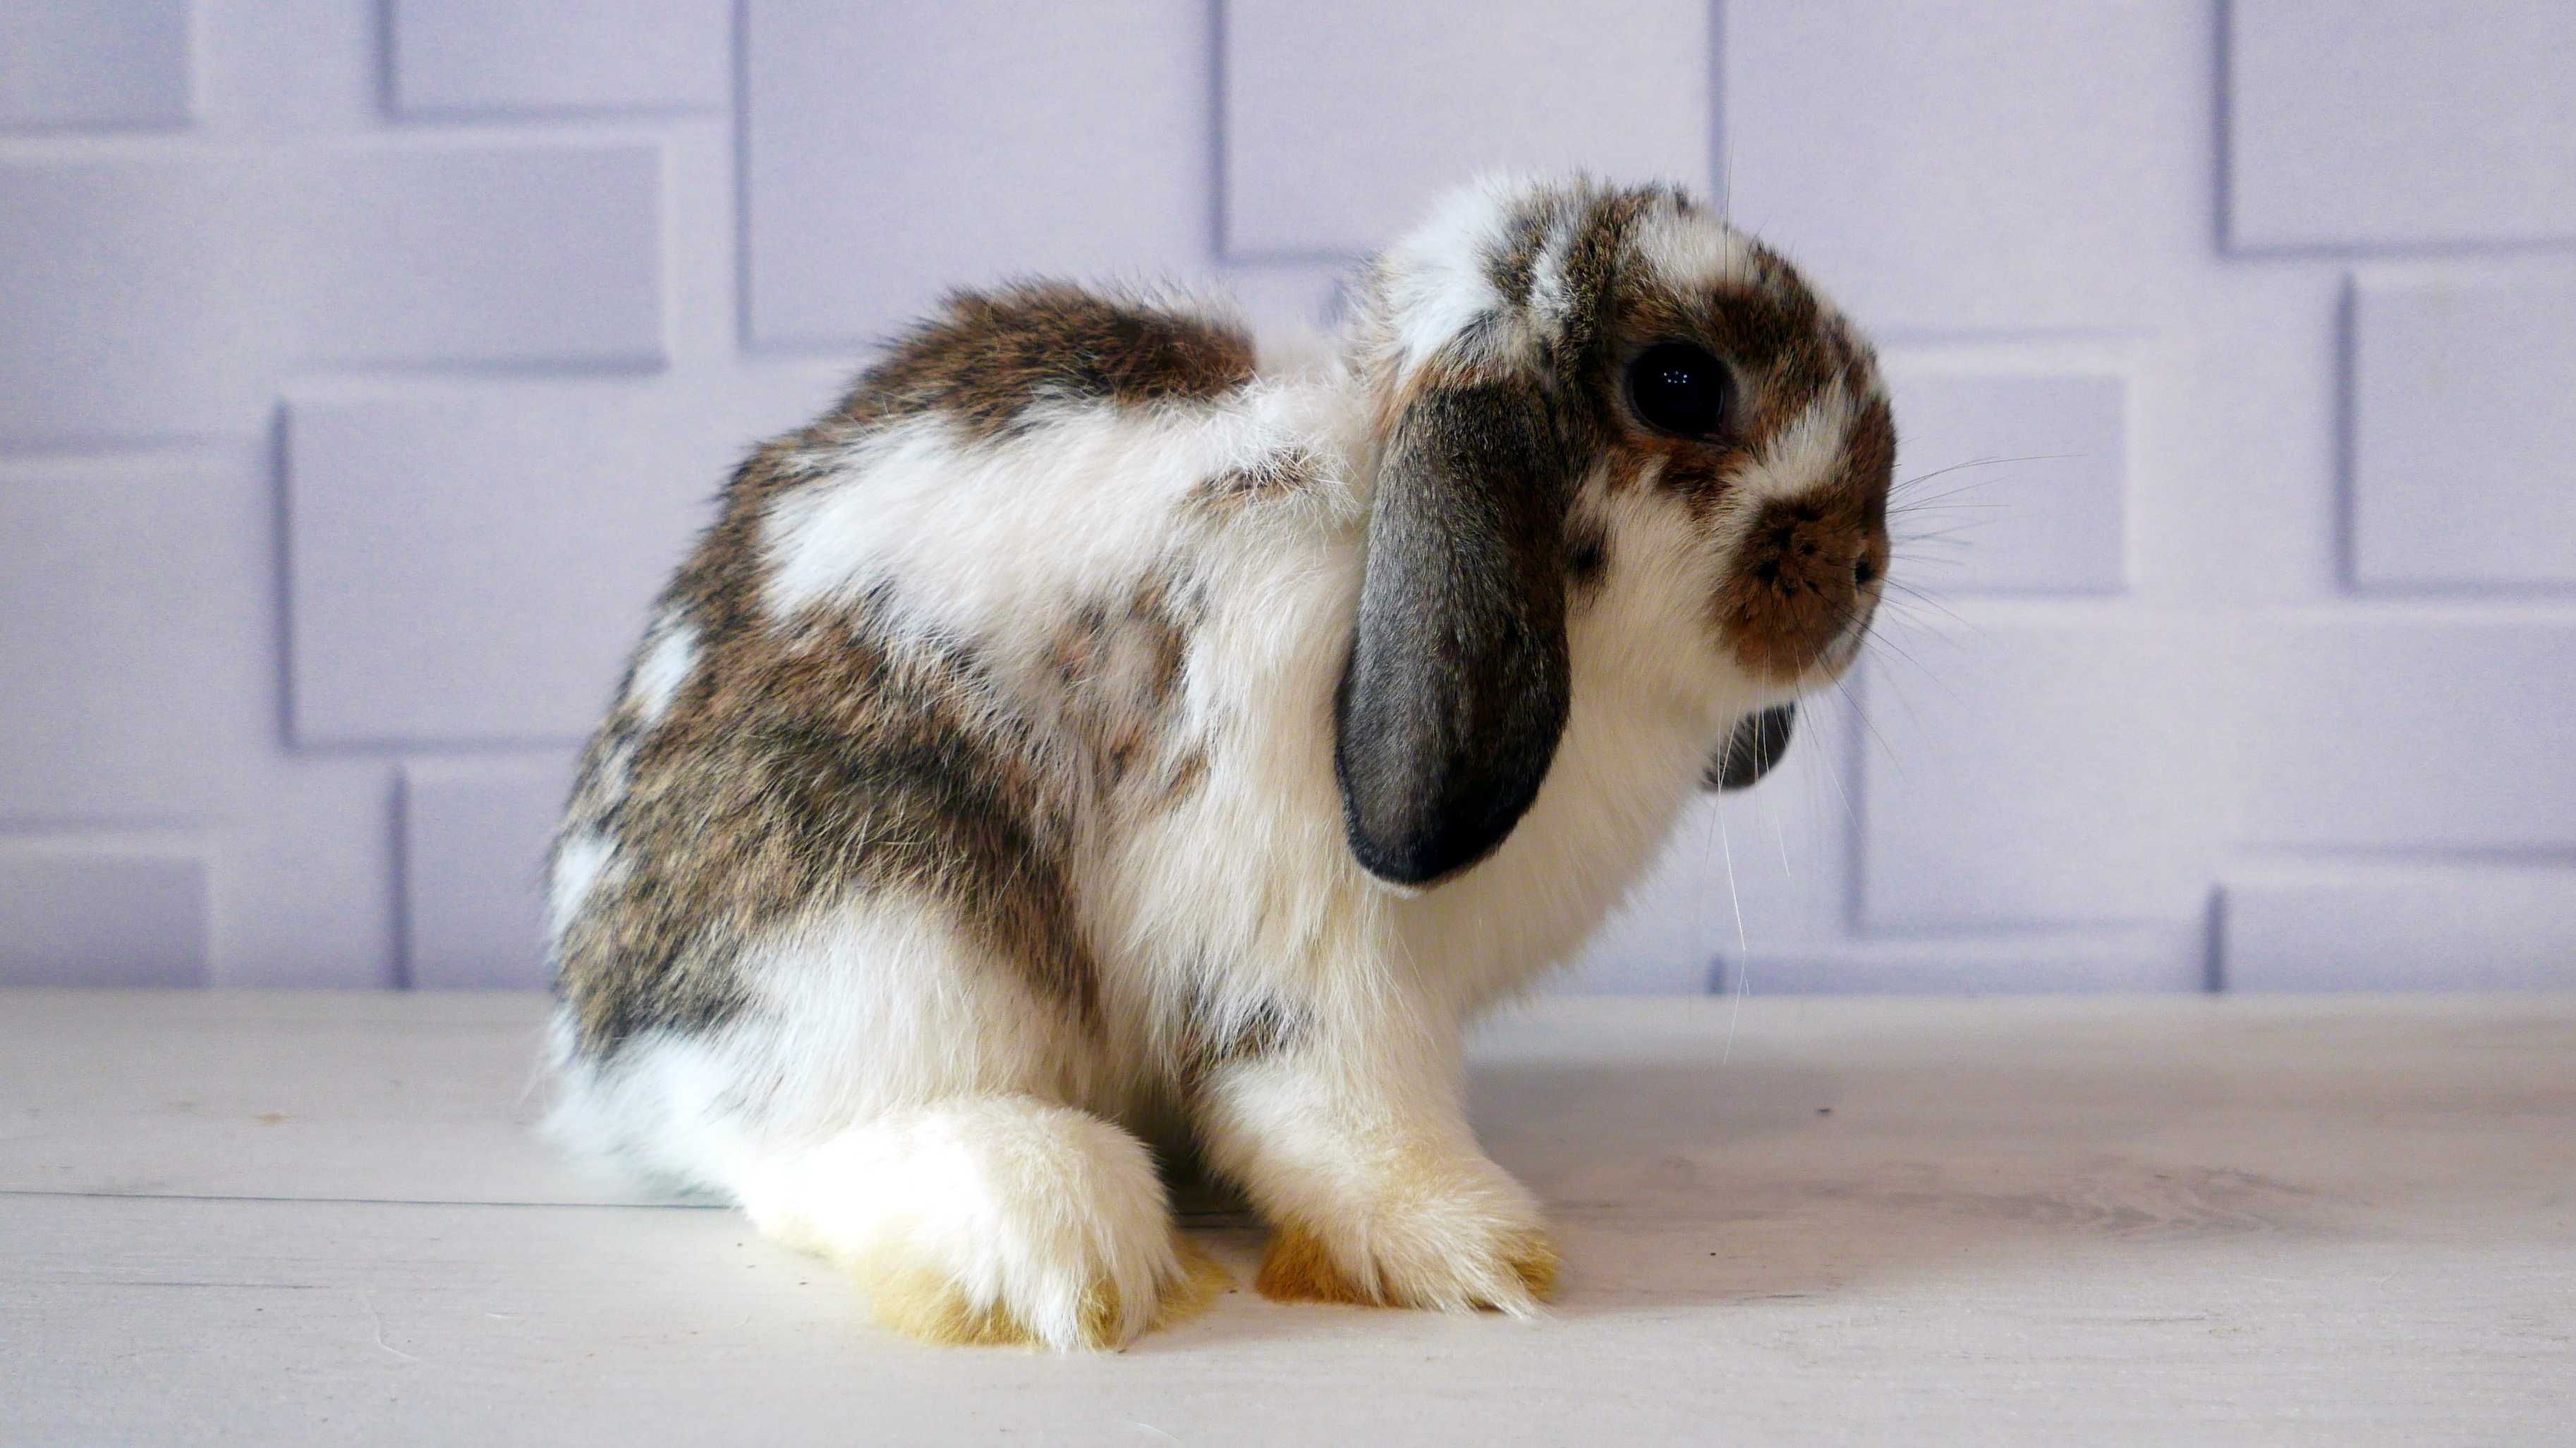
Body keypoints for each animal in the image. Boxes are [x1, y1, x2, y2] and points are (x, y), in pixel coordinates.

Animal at [538, 175, 1895, 1350]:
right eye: (1679, 381)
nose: (1866, 570)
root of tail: (604, 1043)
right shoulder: (1309, 943)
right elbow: (1338, 1108)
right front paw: (1475, 1244)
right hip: (884, 913)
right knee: (803, 1140)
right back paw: (1060, 1230)